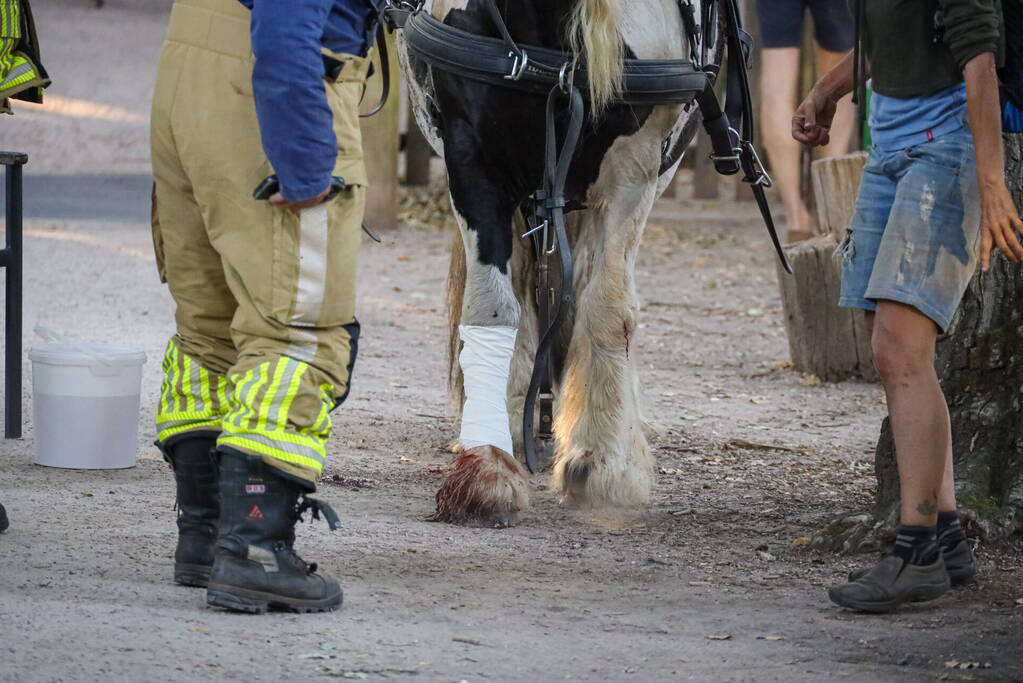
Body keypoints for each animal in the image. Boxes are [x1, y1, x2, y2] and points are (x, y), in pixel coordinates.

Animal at [398, 0, 718, 526]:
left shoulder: (634, 172)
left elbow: (608, 308)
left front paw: (604, 460)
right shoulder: (472, 157)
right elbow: (492, 308)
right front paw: (487, 465)